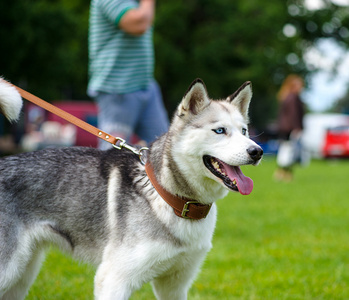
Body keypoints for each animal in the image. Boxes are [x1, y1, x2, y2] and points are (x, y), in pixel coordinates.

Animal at [0, 78, 260, 298]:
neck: (170, 199)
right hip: (10, 270)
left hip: (22, 275)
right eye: (220, 130)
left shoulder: (174, 285)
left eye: (244, 131)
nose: (257, 151)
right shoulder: (113, 281)